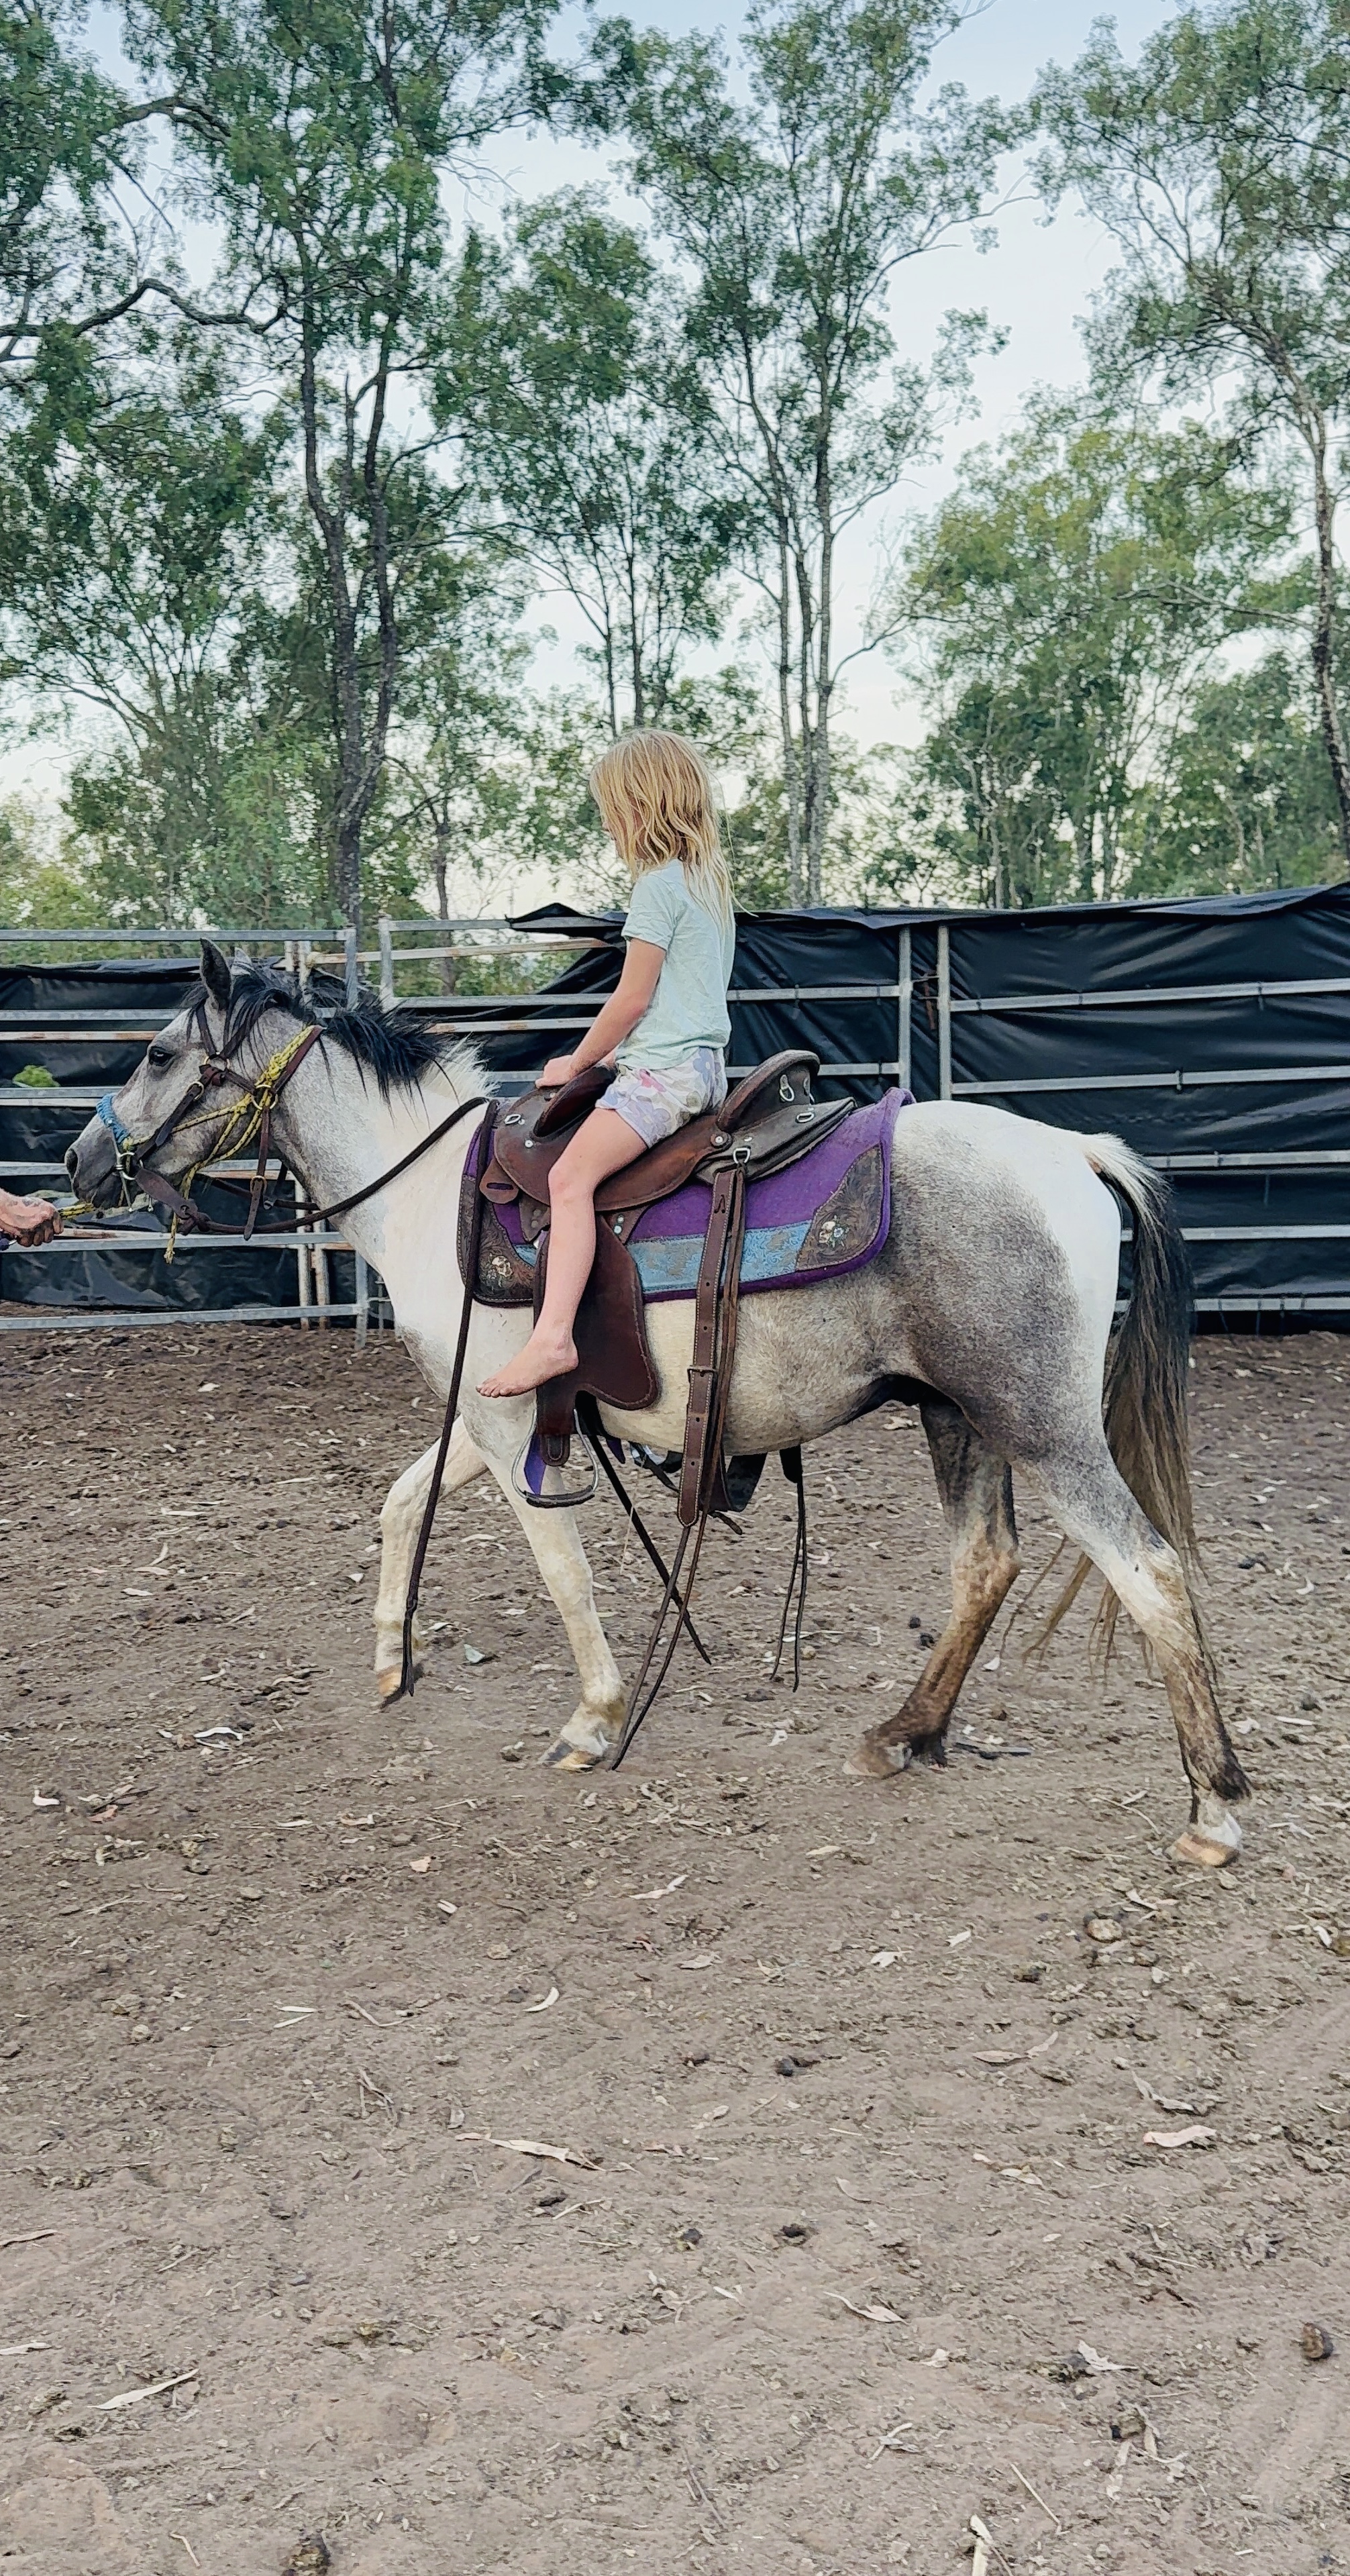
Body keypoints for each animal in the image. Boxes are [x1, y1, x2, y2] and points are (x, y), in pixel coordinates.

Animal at [66, 939, 1250, 1868]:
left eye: (159, 1053)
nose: (79, 1160)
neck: (430, 1189)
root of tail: (1075, 1154)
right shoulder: (492, 1416)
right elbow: (403, 1502)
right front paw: (395, 1658)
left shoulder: (506, 1422)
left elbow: (562, 1569)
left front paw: (594, 1719)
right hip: (955, 1413)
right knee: (984, 1566)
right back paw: (904, 1731)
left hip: (1039, 1425)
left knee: (1147, 1570)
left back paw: (1212, 1808)